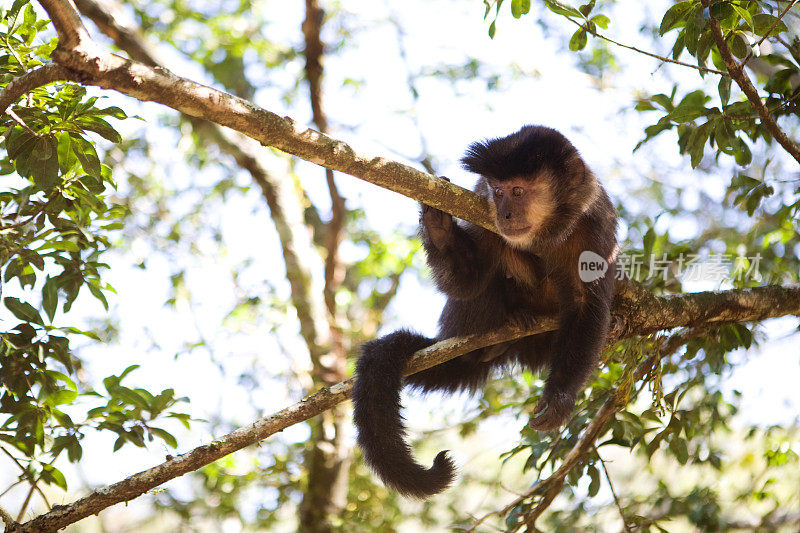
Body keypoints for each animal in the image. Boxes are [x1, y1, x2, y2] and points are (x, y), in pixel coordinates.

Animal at [350, 124, 620, 498]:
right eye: (498, 191)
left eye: (518, 191)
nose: (504, 213)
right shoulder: (481, 207)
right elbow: (469, 279)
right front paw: (438, 224)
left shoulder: (596, 219)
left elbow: (586, 303)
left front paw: (559, 397)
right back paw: (497, 337)